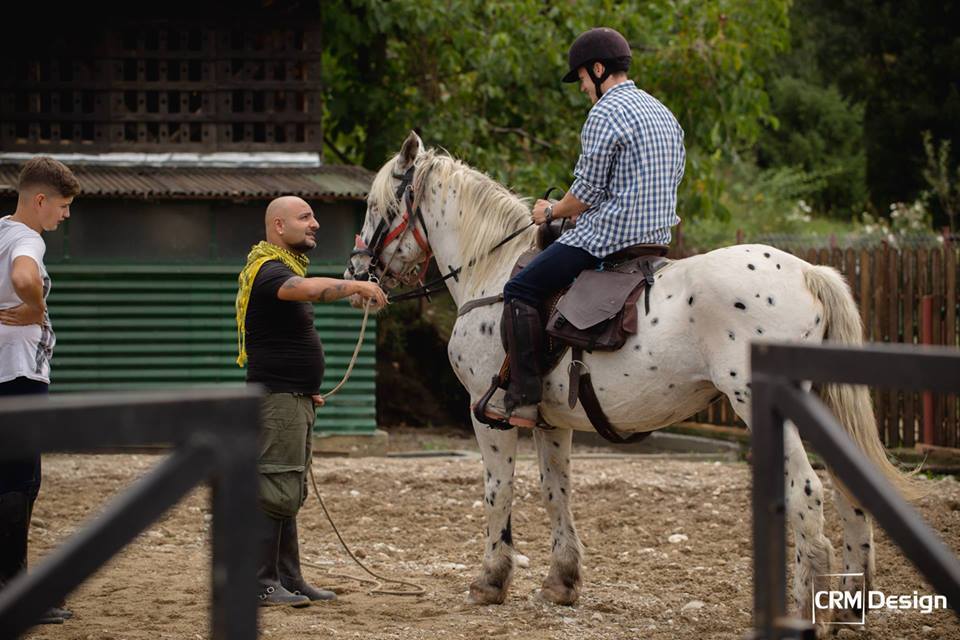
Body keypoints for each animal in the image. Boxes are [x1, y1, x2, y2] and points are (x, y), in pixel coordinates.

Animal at [348, 131, 920, 632]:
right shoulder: (550, 422)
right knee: (850, 493)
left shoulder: (488, 415)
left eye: (376, 206)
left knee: (807, 495)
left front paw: (490, 580)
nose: (357, 271)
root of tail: (808, 273)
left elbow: (498, 492)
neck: (493, 269)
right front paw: (562, 581)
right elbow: (556, 492)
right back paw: (848, 607)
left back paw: (805, 612)